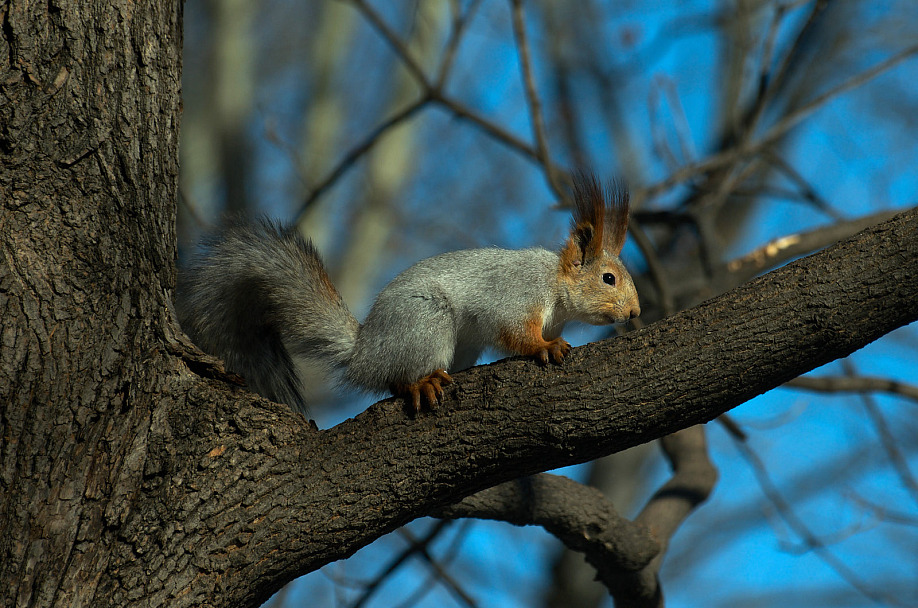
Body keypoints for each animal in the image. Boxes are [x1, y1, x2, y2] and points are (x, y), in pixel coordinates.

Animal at [178, 173, 640, 416]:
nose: (635, 313)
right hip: (425, 323)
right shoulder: (516, 294)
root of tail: (363, 350)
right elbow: (515, 332)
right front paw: (544, 346)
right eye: (608, 279)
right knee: (394, 378)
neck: (556, 288)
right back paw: (420, 383)